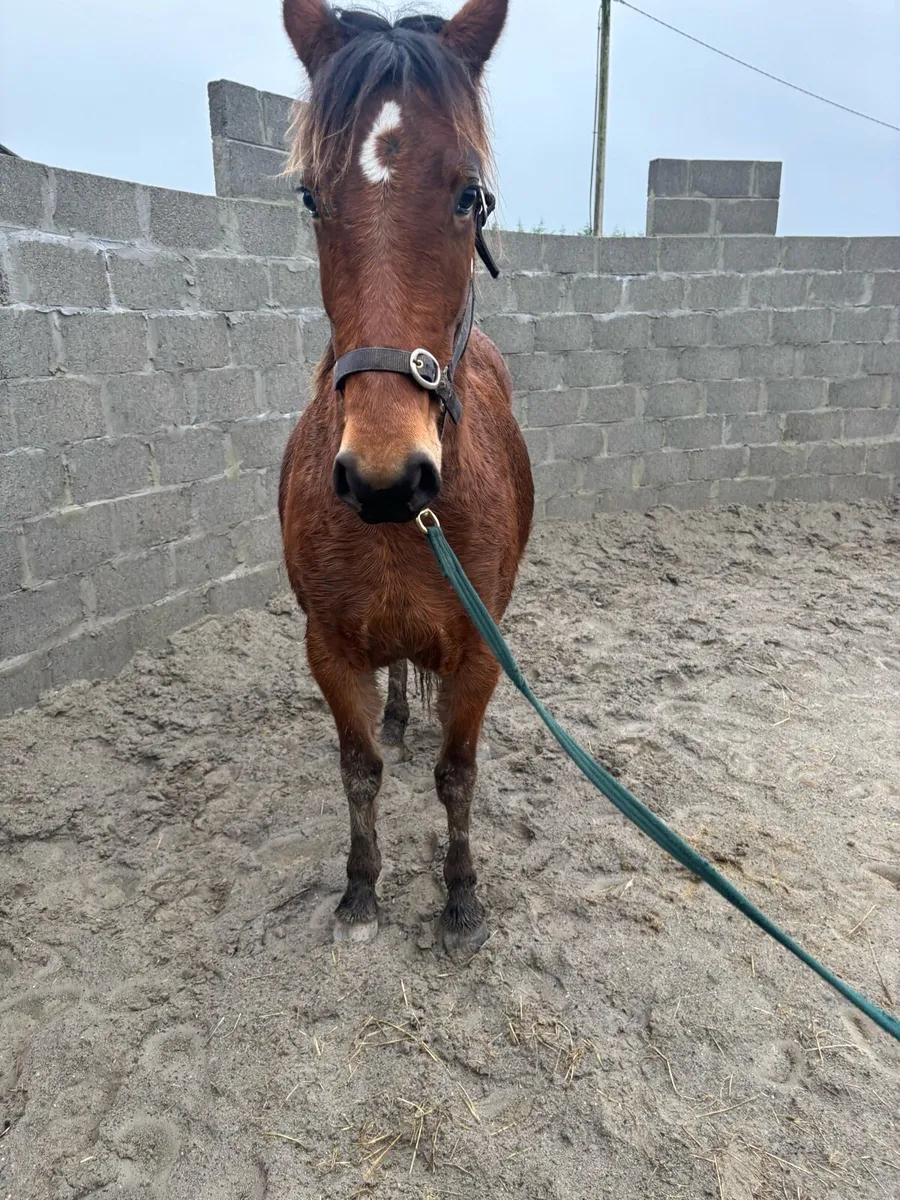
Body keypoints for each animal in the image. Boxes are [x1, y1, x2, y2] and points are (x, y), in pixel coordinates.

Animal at [278, 0, 534, 953]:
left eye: (468, 195)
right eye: (312, 196)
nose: (387, 479)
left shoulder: (480, 654)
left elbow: (458, 775)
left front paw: (461, 901)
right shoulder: (329, 646)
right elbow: (360, 770)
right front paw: (360, 890)